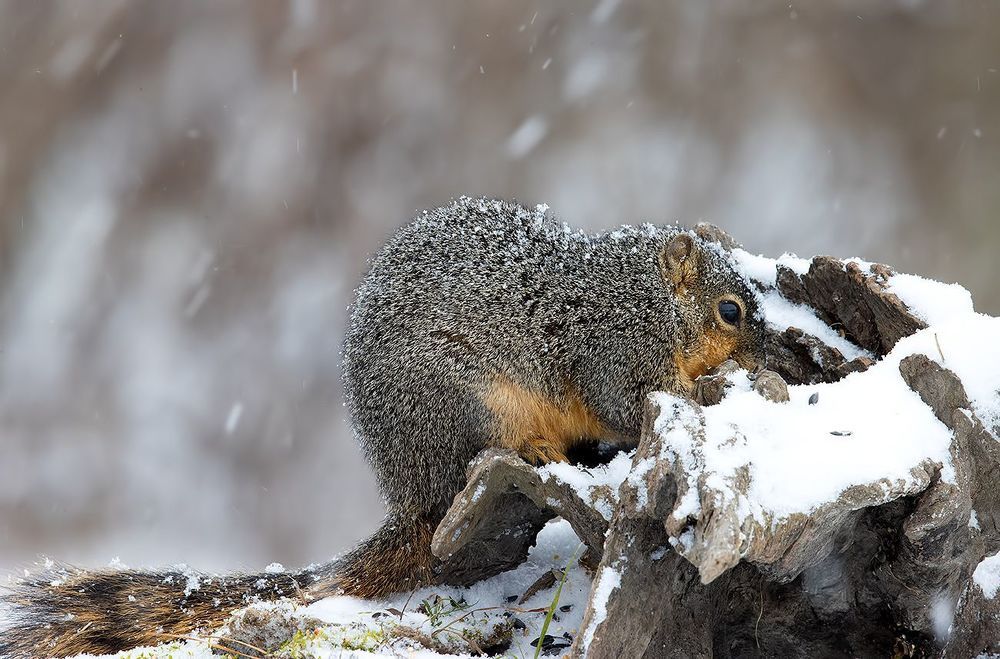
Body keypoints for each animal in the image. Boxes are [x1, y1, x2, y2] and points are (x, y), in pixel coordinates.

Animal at [1, 197, 765, 658]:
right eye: (730, 310)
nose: (764, 353)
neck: (641, 297)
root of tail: (410, 494)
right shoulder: (608, 349)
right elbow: (627, 400)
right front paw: (704, 385)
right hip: (471, 405)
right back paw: (541, 449)